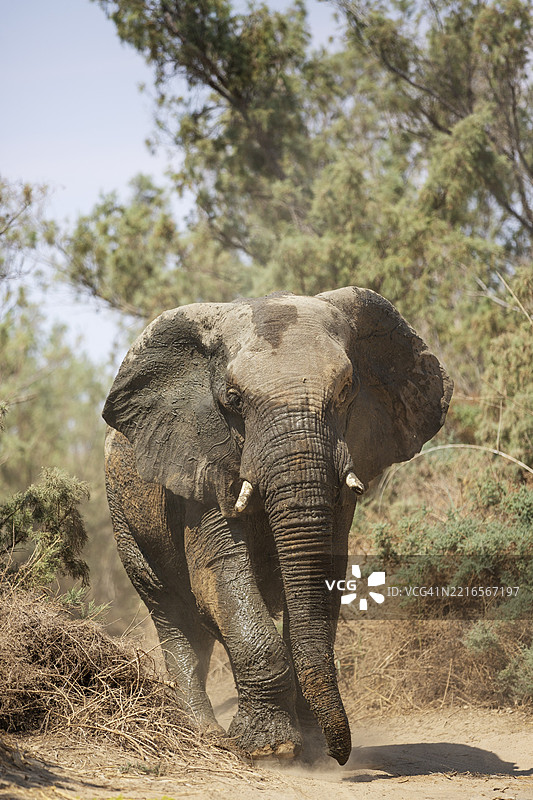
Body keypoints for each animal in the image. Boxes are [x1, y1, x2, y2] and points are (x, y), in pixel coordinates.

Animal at [102, 286, 453, 765]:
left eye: (348, 390)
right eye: (233, 399)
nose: (340, 757)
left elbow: (325, 574)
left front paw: (310, 747)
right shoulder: (202, 461)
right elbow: (220, 571)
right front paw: (272, 749)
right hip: (124, 514)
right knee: (172, 611)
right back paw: (204, 734)